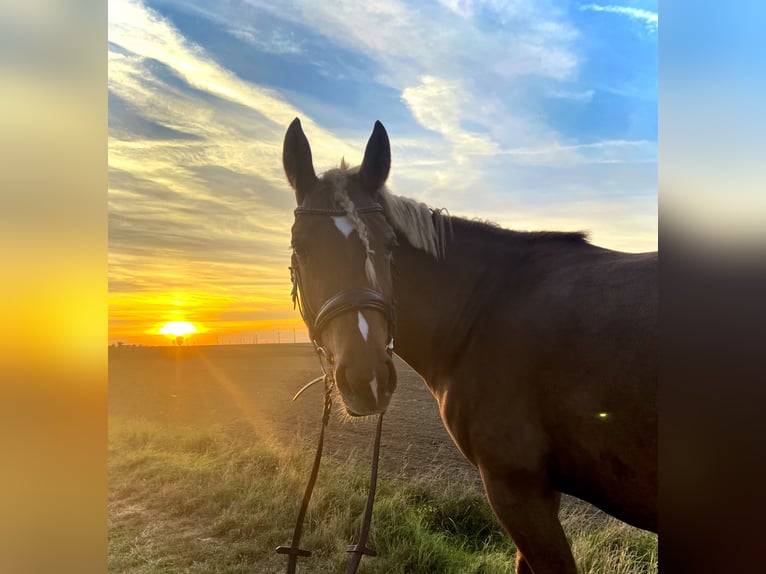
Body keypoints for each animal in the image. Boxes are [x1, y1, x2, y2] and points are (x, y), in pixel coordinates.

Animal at [283, 118, 657, 573]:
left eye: (389, 246)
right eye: (300, 247)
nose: (366, 378)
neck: (484, 308)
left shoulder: (516, 488)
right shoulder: (534, 492)